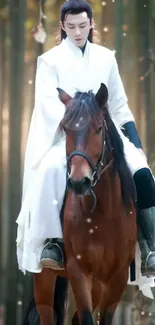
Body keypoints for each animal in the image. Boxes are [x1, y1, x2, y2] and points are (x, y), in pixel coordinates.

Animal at [24, 83, 137, 324]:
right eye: (66, 129)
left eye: (98, 128)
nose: (78, 182)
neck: (104, 214)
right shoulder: (79, 271)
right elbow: (85, 317)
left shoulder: (117, 278)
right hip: (45, 278)